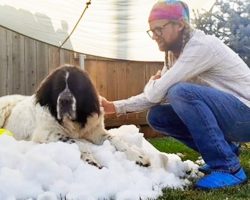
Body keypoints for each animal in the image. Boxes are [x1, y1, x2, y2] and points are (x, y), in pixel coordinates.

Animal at [0, 65, 151, 169]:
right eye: (57, 88)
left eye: (77, 88)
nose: (64, 101)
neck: (74, 122)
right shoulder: (47, 133)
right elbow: (80, 143)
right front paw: (92, 161)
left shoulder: (96, 131)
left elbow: (116, 139)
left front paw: (138, 156)